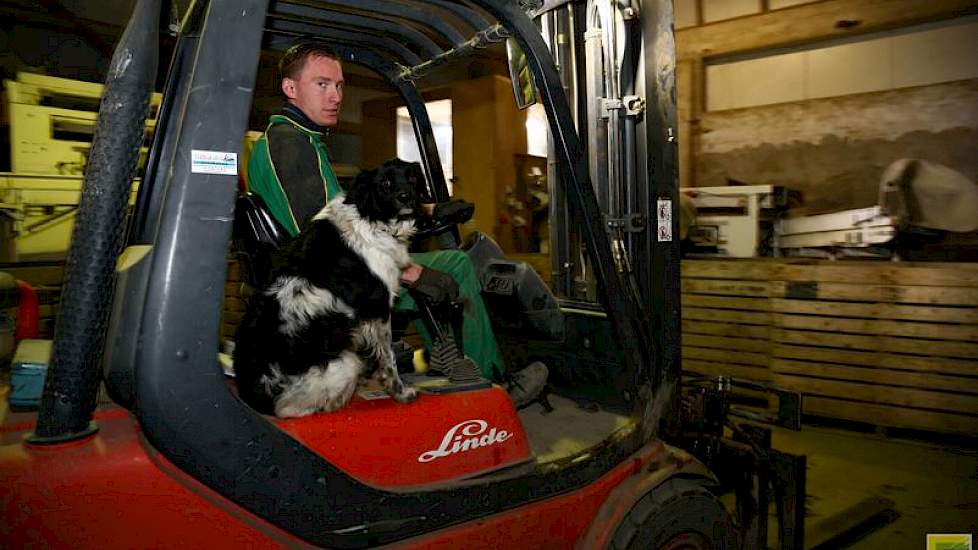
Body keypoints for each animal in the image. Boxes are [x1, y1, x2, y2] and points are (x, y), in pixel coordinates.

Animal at [235, 160, 424, 418]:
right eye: (385, 183)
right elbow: (389, 359)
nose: (406, 197)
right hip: (347, 362)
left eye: (412, 178)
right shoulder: (379, 307)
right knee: (292, 409)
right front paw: (400, 393)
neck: (370, 219)